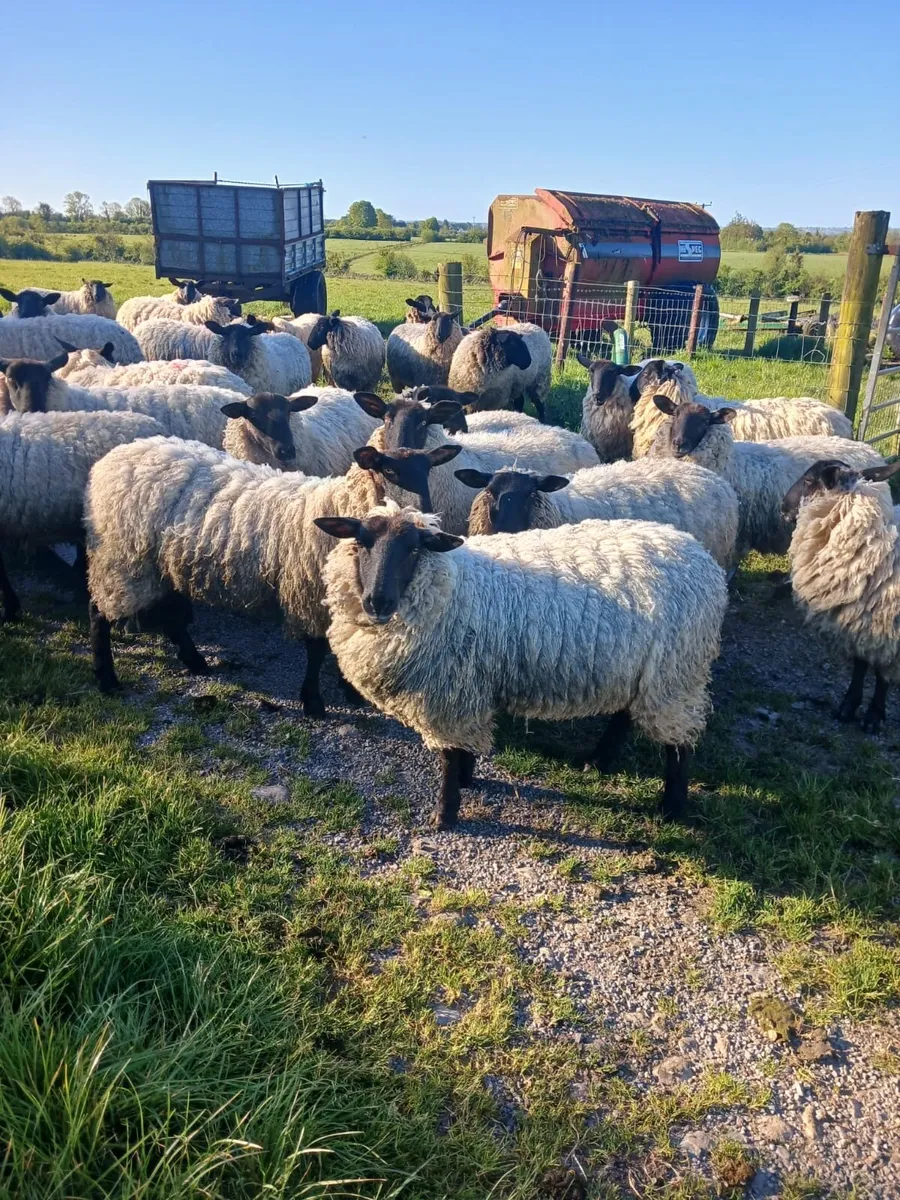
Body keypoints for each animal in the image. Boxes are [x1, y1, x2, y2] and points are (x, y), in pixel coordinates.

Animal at [85, 435, 461, 712]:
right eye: (389, 471)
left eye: (428, 470)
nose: (426, 519)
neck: (338, 506)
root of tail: (113, 458)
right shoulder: (310, 595)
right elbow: (316, 651)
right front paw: (313, 702)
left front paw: (349, 692)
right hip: (120, 560)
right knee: (99, 613)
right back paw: (106, 679)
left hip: (163, 564)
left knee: (171, 614)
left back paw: (195, 662)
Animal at [317, 502, 727, 828]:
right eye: (361, 542)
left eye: (414, 548)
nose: (377, 602)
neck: (452, 587)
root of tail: (701, 557)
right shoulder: (467, 687)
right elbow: (462, 749)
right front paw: (466, 779)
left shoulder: (449, 693)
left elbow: (449, 756)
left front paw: (444, 814)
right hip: (638, 668)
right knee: (626, 714)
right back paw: (597, 761)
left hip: (675, 673)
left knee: (679, 744)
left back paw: (672, 807)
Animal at [782, 458, 900, 733]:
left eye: (808, 480)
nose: (782, 507)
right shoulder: (860, 624)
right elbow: (859, 666)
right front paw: (848, 706)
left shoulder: (888, 633)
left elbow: (882, 675)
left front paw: (874, 716)